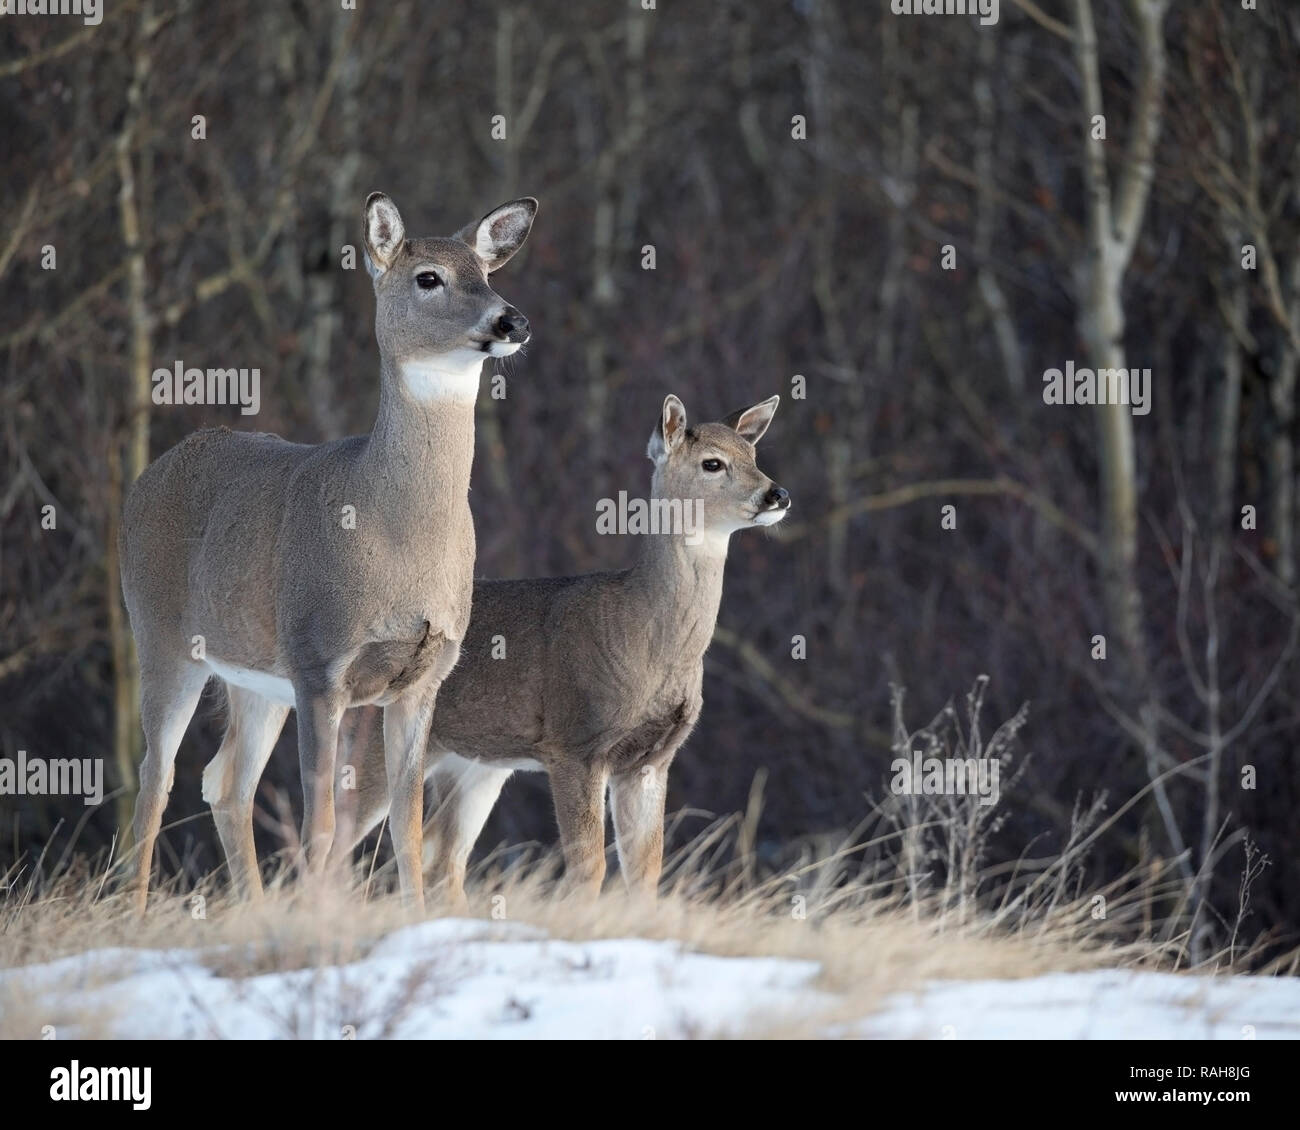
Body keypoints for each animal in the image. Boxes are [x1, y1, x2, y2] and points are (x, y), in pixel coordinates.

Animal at [116, 189, 533, 905]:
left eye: (486, 273)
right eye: (429, 278)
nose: (512, 320)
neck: (398, 536)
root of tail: (150, 476)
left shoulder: (425, 678)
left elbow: (407, 829)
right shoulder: (319, 662)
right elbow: (321, 820)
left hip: (256, 676)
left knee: (226, 782)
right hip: (163, 637)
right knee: (156, 780)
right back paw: (136, 913)